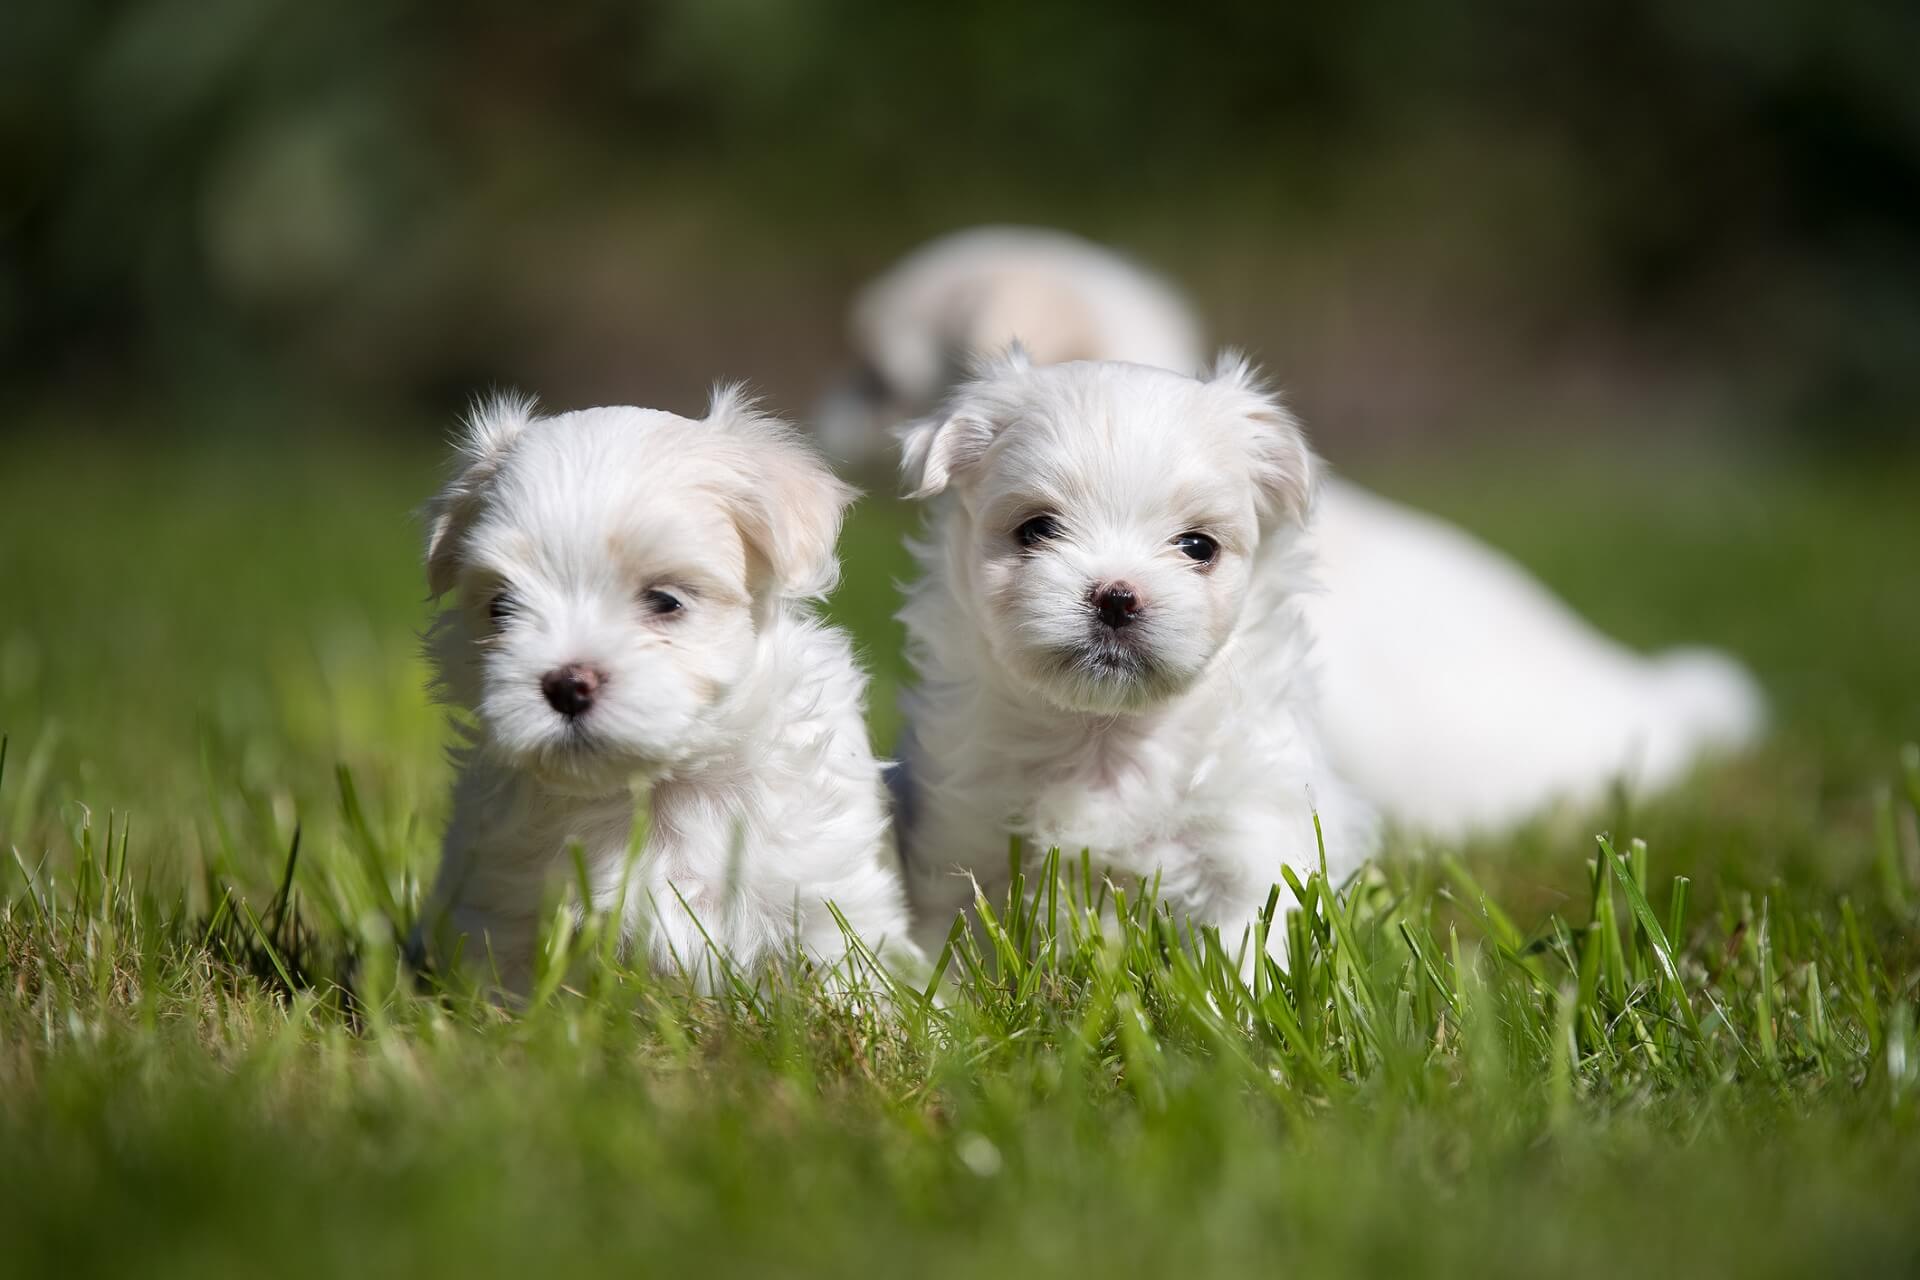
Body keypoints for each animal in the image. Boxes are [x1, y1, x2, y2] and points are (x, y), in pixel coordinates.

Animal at [414, 385, 921, 997]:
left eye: (665, 601)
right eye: (501, 608)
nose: (567, 683)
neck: (656, 791)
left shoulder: (825, 899)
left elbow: (845, 983)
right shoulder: (502, 907)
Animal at [890, 345, 1374, 955]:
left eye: (1198, 546)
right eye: (1036, 530)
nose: (1116, 597)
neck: (1106, 737)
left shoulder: (1251, 850)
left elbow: (1250, 946)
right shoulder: (961, 849)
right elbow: (956, 949)